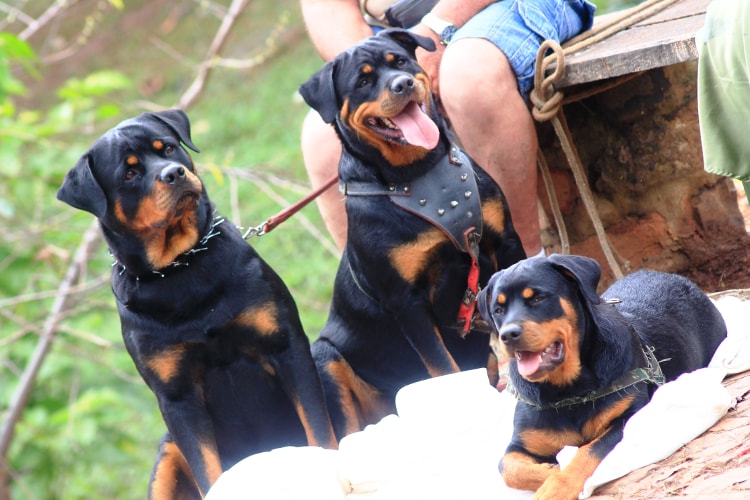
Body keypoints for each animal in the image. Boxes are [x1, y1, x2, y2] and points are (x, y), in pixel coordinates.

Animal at [58, 110, 338, 500]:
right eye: (128, 174)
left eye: (168, 148)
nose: (174, 173)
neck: (182, 266)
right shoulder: (177, 397)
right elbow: (208, 471)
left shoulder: (286, 347)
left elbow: (319, 430)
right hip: (166, 453)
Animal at [296, 28, 524, 438]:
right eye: (363, 81)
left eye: (400, 61)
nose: (402, 84)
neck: (420, 172)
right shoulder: (406, 301)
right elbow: (444, 368)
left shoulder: (506, 241)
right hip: (325, 359)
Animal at [476, 256, 728, 498]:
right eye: (498, 310)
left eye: (537, 298)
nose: (508, 335)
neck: (568, 389)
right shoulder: (520, 443)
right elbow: (508, 468)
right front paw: (550, 471)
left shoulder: (628, 416)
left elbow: (587, 453)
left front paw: (555, 486)